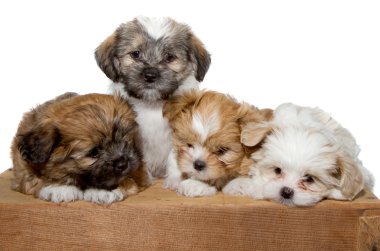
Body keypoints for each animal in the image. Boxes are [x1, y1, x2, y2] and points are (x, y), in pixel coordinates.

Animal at [10, 92, 150, 204]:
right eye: (94, 152)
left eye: (125, 141)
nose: (122, 164)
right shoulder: (22, 166)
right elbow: (33, 179)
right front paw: (59, 188)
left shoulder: (139, 170)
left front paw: (104, 191)